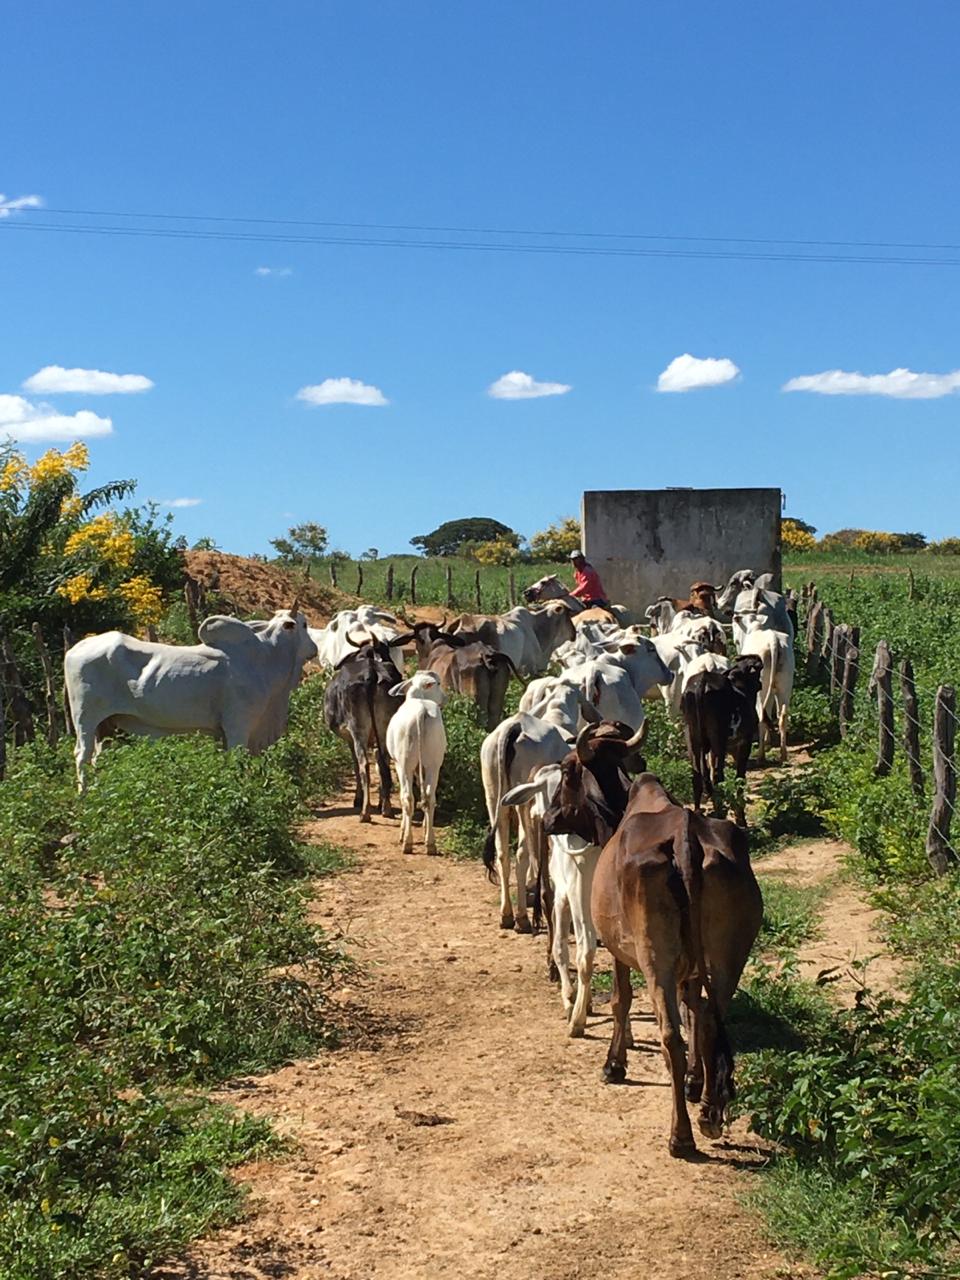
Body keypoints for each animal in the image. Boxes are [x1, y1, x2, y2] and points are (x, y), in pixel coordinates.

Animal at [64, 604, 320, 783]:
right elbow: (237, 758)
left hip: (105, 726)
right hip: (85, 719)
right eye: (304, 624)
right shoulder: (238, 725)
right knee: (81, 755)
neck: (265, 656)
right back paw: (84, 796)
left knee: (96, 757)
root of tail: (74, 649)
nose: (315, 649)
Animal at [386, 670, 450, 860]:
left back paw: (407, 842)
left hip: (405, 763)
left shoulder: (399, 764)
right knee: (429, 797)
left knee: (408, 798)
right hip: (433, 763)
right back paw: (431, 844)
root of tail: (421, 711)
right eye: (438, 684)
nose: (445, 698)